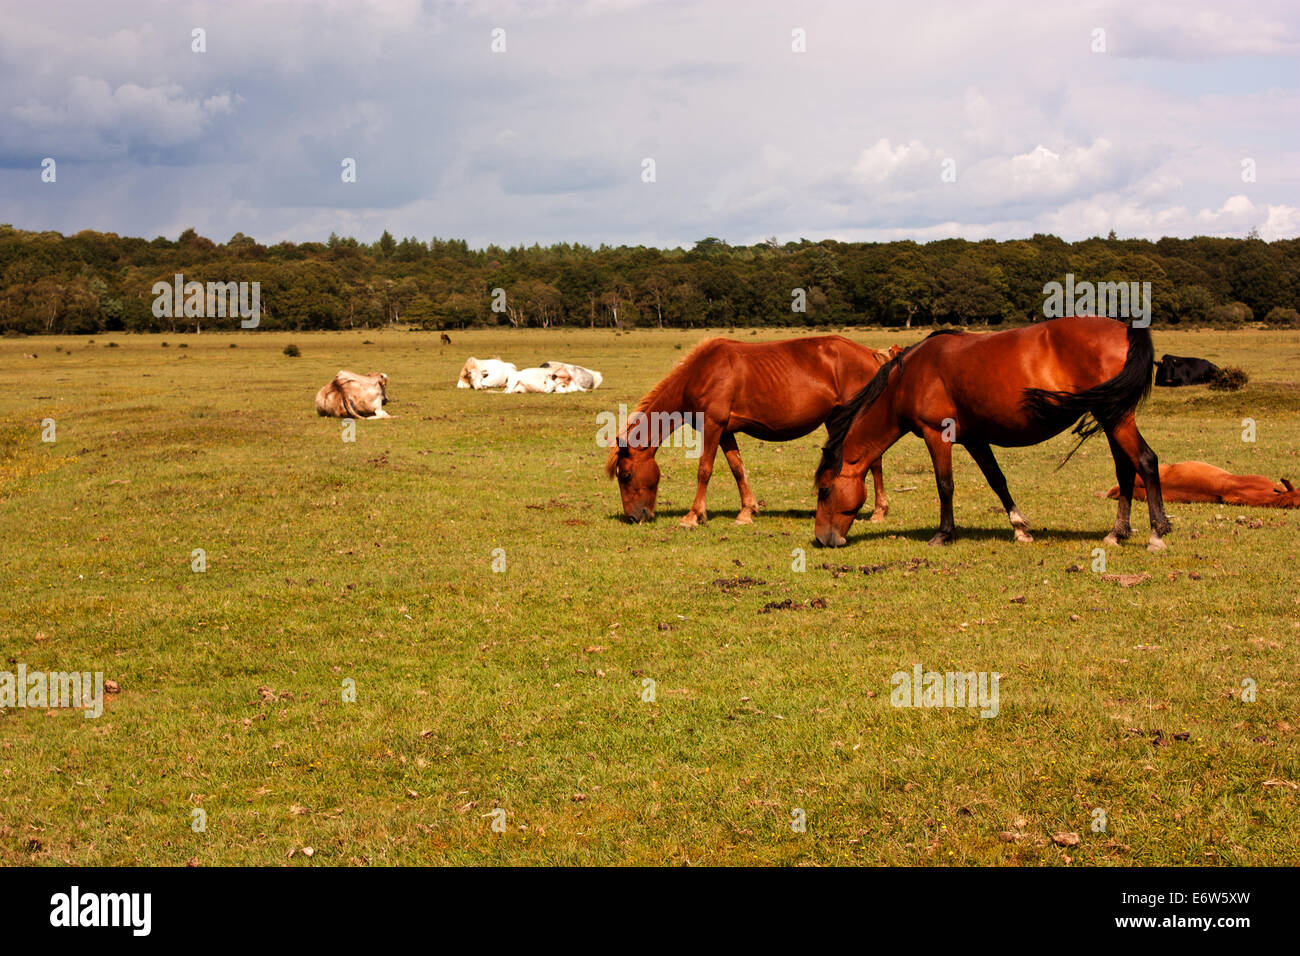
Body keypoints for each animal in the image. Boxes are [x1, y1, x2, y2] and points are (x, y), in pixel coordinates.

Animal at [605, 336, 899, 526]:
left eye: (626, 475)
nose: (633, 517)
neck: (701, 372)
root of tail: (870, 354)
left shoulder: (712, 425)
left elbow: (704, 470)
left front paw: (693, 515)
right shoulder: (725, 432)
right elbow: (737, 468)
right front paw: (747, 511)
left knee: (875, 462)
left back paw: (879, 512)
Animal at [813, 315, 1172, 551]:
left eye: (825, 490)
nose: (821, 538)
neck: (909, 378)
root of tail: (1126, 329)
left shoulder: (936, 434)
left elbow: (945, 485)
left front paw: (944, 534)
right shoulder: (975, 438)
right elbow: (997, 480)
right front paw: (1020, 528)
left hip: (1116, 417)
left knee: (1145, 461)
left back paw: (1156, 533)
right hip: (1112, 418)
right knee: (1125, 469)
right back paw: (1117, 533)